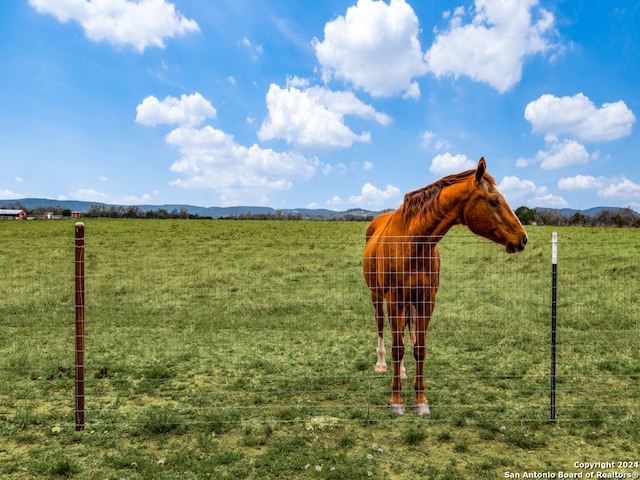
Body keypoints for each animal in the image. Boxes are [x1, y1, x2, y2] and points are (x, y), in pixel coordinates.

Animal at [362, 159, 528, 414]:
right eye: (494, 200)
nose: (523, 238)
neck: (414, 242)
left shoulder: (426, 300)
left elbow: (418, 347)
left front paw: (420, 401)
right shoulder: (394, 299)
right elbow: (397, 347)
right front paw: (396, 401)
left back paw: (402, 371)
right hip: (377, 296)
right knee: (382, 327)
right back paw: (381, 364)